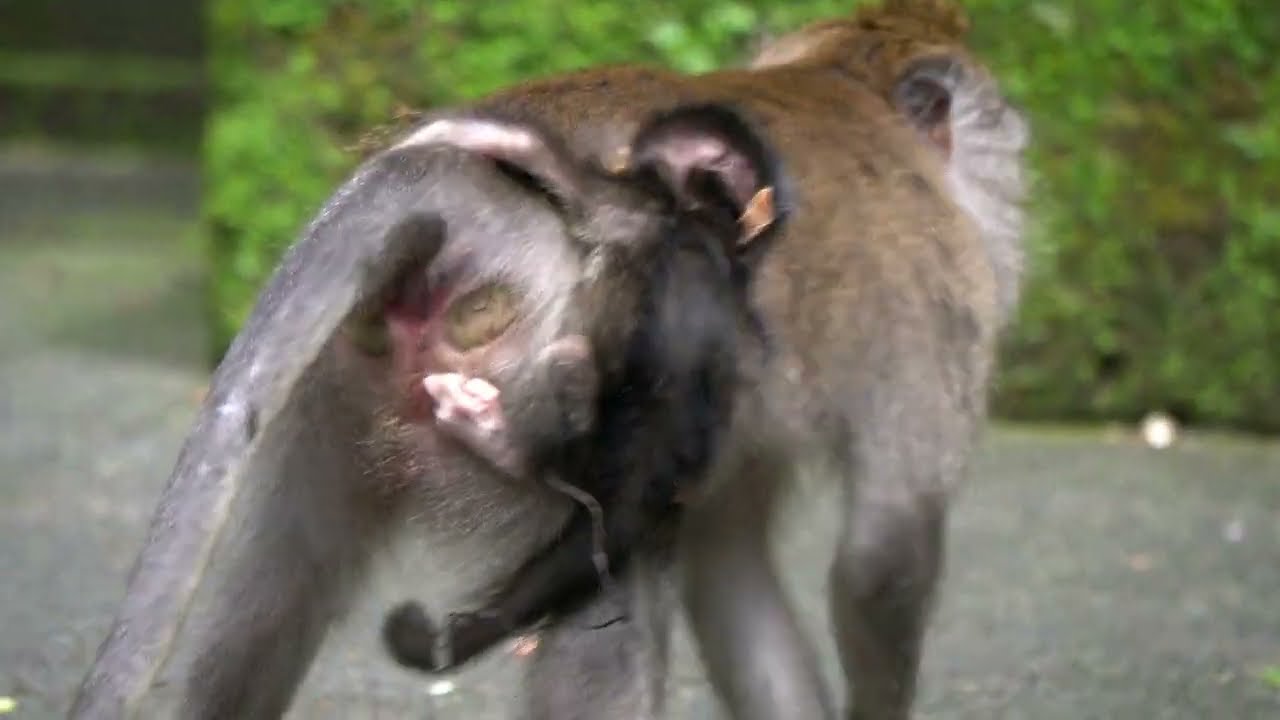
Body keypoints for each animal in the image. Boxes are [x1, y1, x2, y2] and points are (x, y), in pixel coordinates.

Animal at [379, 104, 789, 677]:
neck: (702, 224)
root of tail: (630, 498)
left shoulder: (634, 208)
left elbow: (554, 167)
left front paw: (450, 133)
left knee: (570, 387)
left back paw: (500, 435)